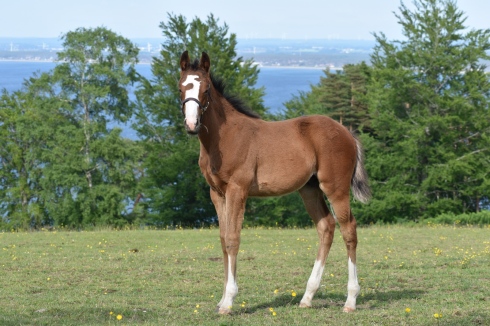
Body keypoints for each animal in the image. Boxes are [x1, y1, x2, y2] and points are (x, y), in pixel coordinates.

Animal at [178, 51, 370, 316]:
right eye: (180, 88)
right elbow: (223, 239)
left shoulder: (238, 190)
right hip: (309, 189)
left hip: (336, 187)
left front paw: (229, 301)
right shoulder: (216, 193)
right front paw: (222, 299)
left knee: (349, 229)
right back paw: (307, 297)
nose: (191, 124)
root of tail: (346, 132)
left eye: (206, 89)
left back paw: (350, 300)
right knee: (326, 227)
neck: (225, 137)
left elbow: (233, 239)